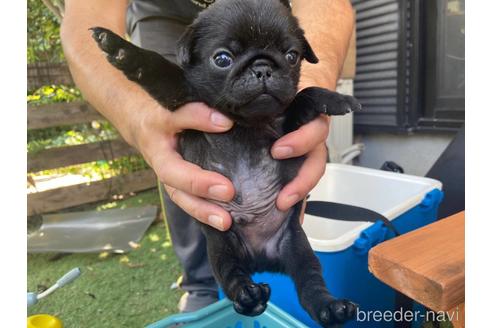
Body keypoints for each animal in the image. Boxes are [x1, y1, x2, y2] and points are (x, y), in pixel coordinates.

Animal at [92, 0, 360, 326]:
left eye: (291, 56)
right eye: (222, 59)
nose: (262, 67)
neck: (245, 122)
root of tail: (261, 260)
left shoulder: (286, 131)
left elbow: (302, 96)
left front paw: (333, 98)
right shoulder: (182, 96)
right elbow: (162, 70)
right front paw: (122, 49)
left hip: (297, 246)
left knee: (309, 282)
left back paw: (330, 308)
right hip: (221, 246)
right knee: (231, 275)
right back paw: (248, 296)